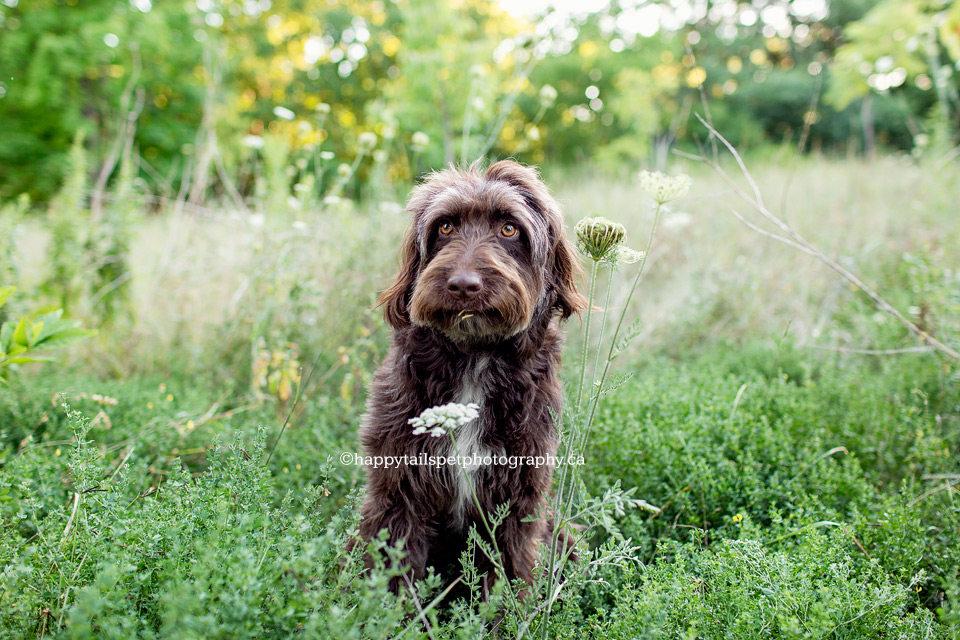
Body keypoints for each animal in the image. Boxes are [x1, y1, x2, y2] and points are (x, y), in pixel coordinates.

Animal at [356, 159, 588, 596]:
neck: (474, 358)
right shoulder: (398, 489)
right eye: (445, 227)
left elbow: (510, 573)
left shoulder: (519, 500)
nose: (463, 285)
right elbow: (394, 571)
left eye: (510, 229)